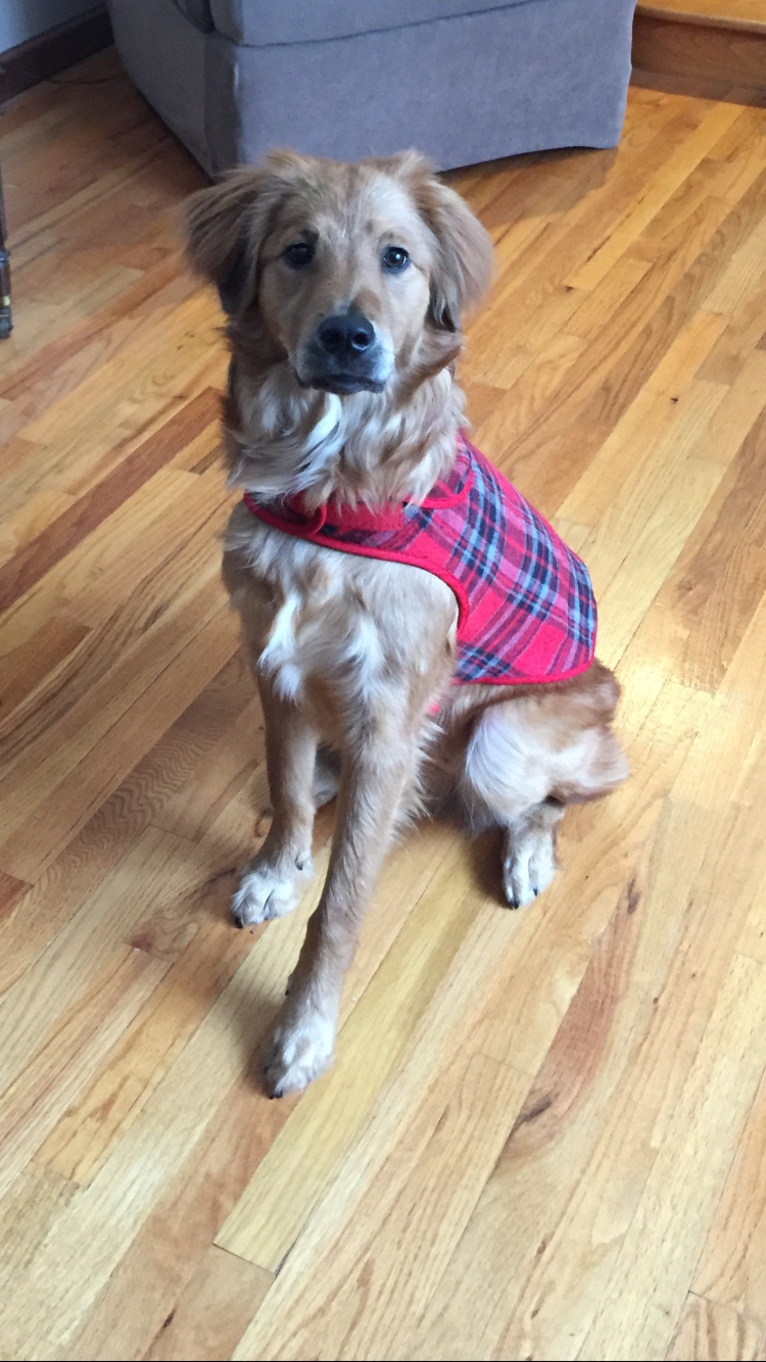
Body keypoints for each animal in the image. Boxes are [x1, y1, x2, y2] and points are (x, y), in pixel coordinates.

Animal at [184, 154, 626, 1100]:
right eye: (298, 250)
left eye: (397, 258)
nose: (349, 337)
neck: (329, 491)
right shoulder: (273, 667)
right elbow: (282, 787)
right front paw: (279, 866)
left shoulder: (390, 720)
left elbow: (343, 904)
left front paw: (304, 1030)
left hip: (503, 741)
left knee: (561, 795)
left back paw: (528, 853)